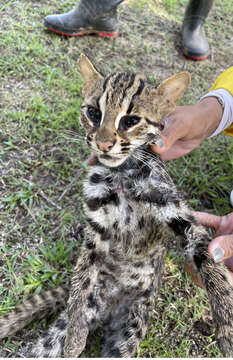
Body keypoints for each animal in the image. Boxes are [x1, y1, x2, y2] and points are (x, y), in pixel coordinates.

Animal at [0, 54, 233, 358]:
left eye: (130, 120)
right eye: (92, 113)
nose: (103, 144)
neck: (122, 175)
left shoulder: (179, 214)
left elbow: (212, 265)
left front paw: (227, 328)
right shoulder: (96, 226)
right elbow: (82, 278)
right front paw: (76, 333)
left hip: (130, 328)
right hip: (57, 338)